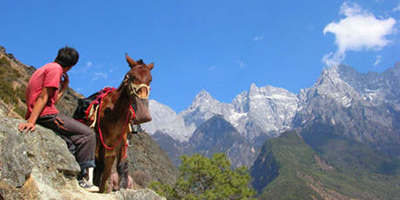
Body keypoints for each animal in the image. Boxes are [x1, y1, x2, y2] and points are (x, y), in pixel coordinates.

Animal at [92, 54, 153, 192]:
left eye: (150, 80)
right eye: (132, 76)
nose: (144, 116)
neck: (115, 111)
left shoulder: (123, 140)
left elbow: (122, 166)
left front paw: (122, 187)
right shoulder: (102, 138)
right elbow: (100, 163)